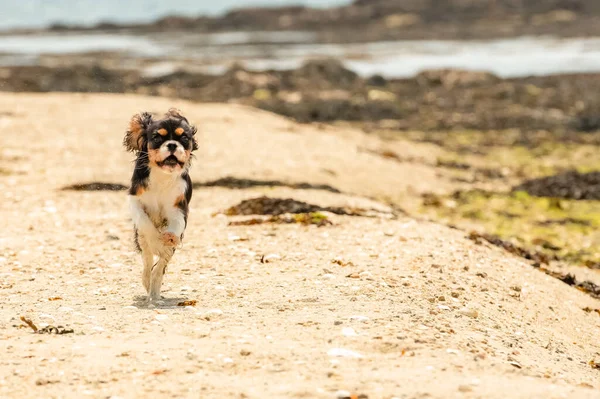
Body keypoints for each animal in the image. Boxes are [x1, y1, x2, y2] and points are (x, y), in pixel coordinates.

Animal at [124, 108, 199, 304]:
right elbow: (145, 223)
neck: (162, 175)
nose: (172, 144)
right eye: (157, 138)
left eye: (184, 138)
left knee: (160, 265)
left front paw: (169, 237)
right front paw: (156, 240)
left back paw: (155, 291)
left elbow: (176, 225)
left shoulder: (178, 208)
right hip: (140, 240)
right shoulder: (135, 200)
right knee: (148, 258)